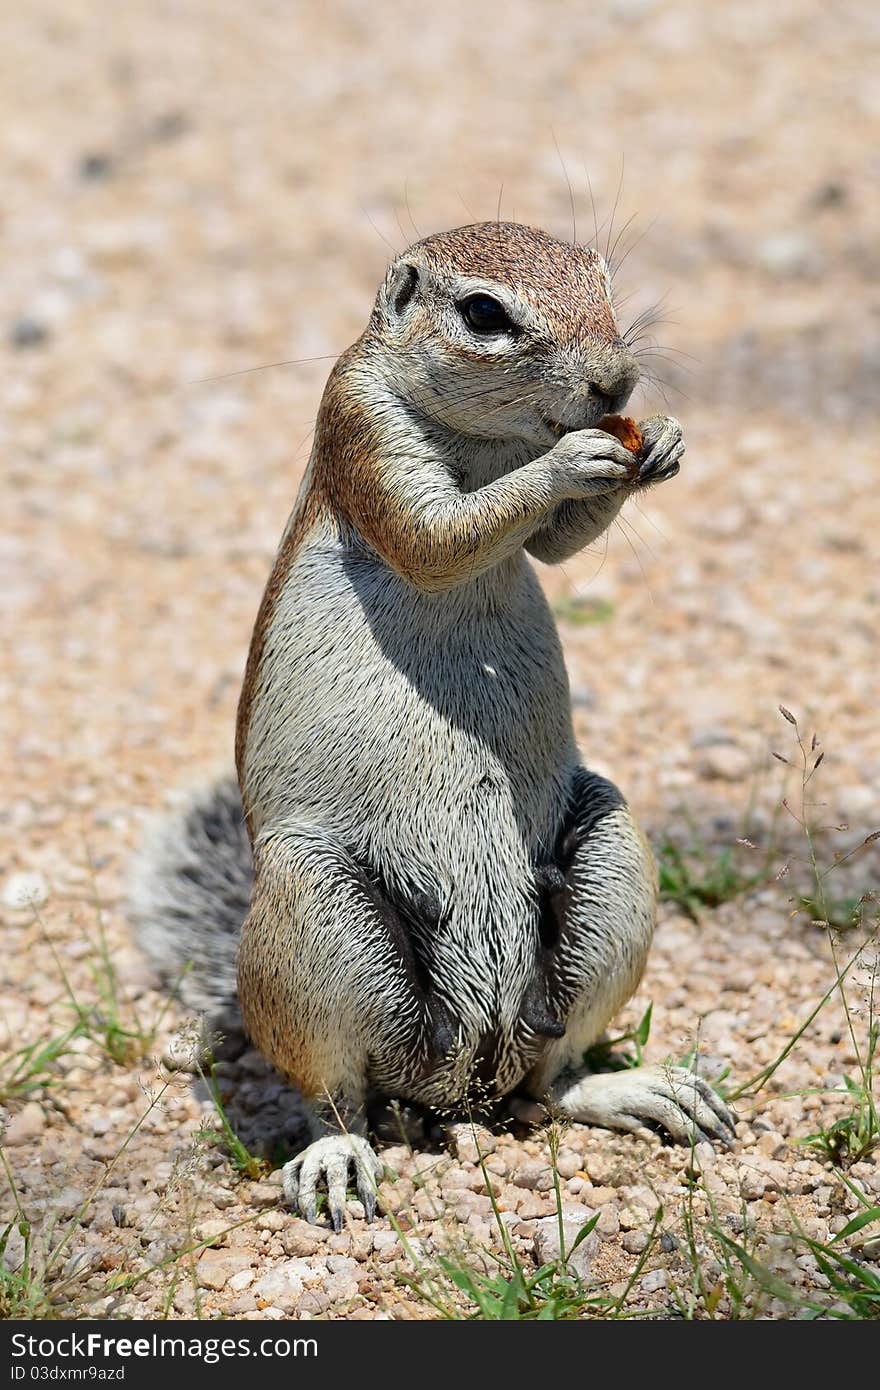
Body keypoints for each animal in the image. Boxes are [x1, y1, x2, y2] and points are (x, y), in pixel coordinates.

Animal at [132, 216, 734, 1228]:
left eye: (605, 282)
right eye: (484, 314)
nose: (617, 385)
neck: (491, 439)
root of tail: (458, 1082)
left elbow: (553, 547)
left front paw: (660, 442)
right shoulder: (360, 429)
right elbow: (438, 535)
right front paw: (573, 461)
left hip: (606, 863)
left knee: (554, 1081)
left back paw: (632, 1089)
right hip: (317, 919)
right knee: (335, 1095)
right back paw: (335, 1157)